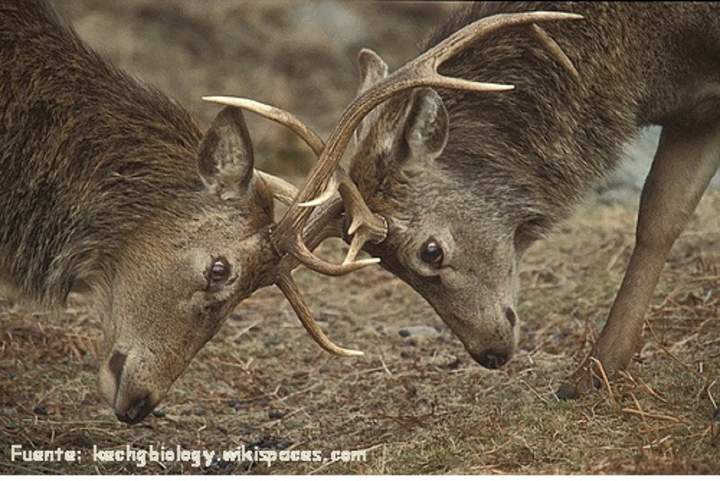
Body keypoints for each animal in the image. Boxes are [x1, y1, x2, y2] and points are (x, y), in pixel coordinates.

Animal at [212, 0, 720, 398]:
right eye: (384, 263)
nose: (490, 353)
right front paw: (593, 373)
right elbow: (659, 217)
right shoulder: (696, 114)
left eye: (430, 251)